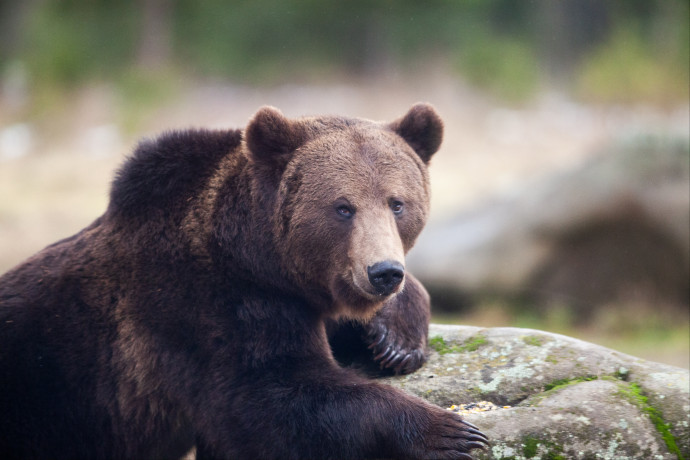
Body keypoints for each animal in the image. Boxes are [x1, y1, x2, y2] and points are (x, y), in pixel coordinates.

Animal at [0, 105, 486, 460]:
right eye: (343, 207)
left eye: (397, 203)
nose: (383, 272)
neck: (258, 257)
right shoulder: (204, 306)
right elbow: (266, 399)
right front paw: (450, 431)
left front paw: (394, 341)